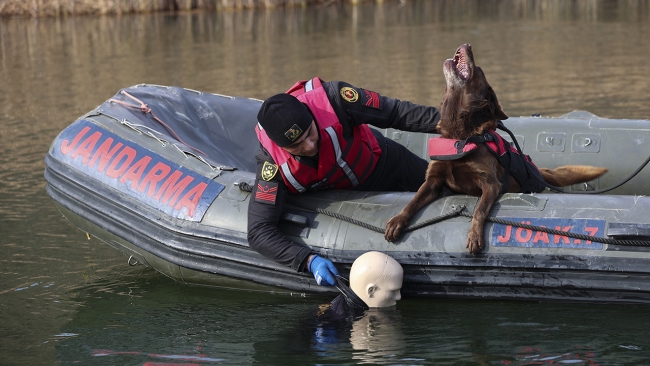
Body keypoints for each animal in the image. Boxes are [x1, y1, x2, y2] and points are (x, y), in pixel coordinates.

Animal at [382, 43, 604, 254]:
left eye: (478, 70)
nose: (468, 44)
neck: (460, 136)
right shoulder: (433, 180)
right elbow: (413, 201)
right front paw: (396, 221)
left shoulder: (490, 184)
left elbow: (479, 209)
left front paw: (474, 236)